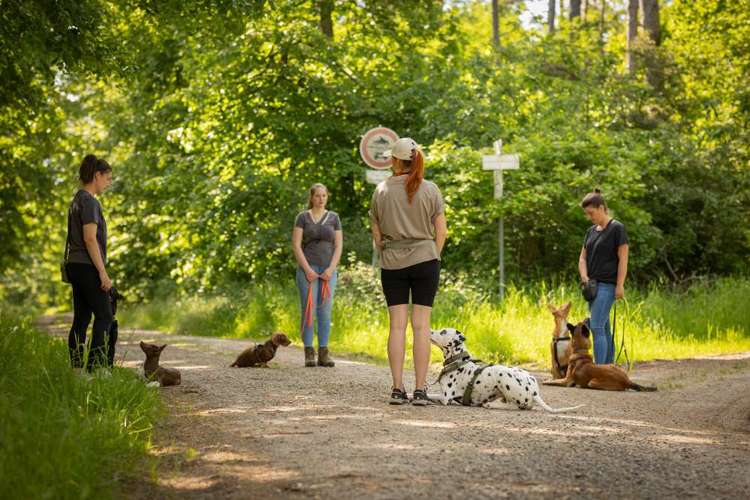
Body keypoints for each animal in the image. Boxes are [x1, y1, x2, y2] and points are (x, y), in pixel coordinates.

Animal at [432, 328, 584, 414]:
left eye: (443, 331)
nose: (430, 330)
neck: (458, 361)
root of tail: (535, 392)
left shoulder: (445, 397)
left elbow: (432, 395)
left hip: (504, 377)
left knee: (520, 406)